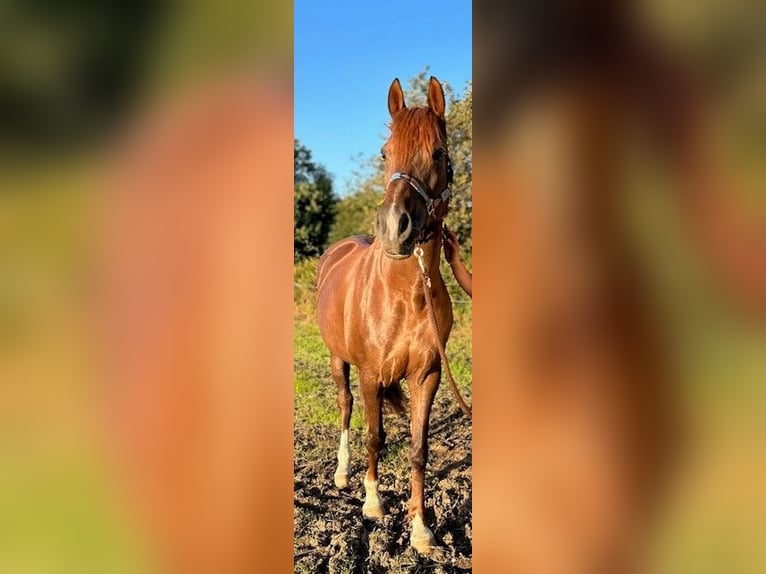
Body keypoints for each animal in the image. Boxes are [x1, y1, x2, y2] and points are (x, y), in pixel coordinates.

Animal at [316, 77, 460, 560]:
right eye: (384, 153)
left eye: (439, 154)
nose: (394, 228)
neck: (403, 296)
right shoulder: (370, 374)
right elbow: (374, 435)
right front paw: (373, 503)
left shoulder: (427, 376)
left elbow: (418, 448)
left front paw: (421, 530)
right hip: (338, 361)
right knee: (345, 408)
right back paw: (343, 475)